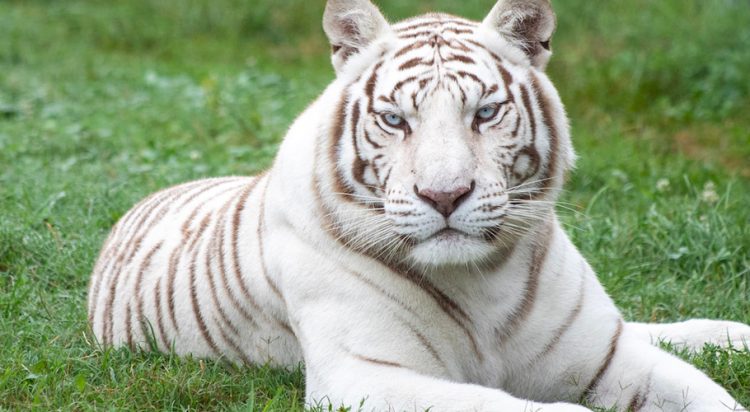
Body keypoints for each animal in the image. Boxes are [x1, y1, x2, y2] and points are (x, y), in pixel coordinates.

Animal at [87, 0, 750, 410]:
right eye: (393, 119)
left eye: (486, 112)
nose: (445, 194)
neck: (485, 280)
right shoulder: (366, 377)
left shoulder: (603, 354)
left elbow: (704, 392)